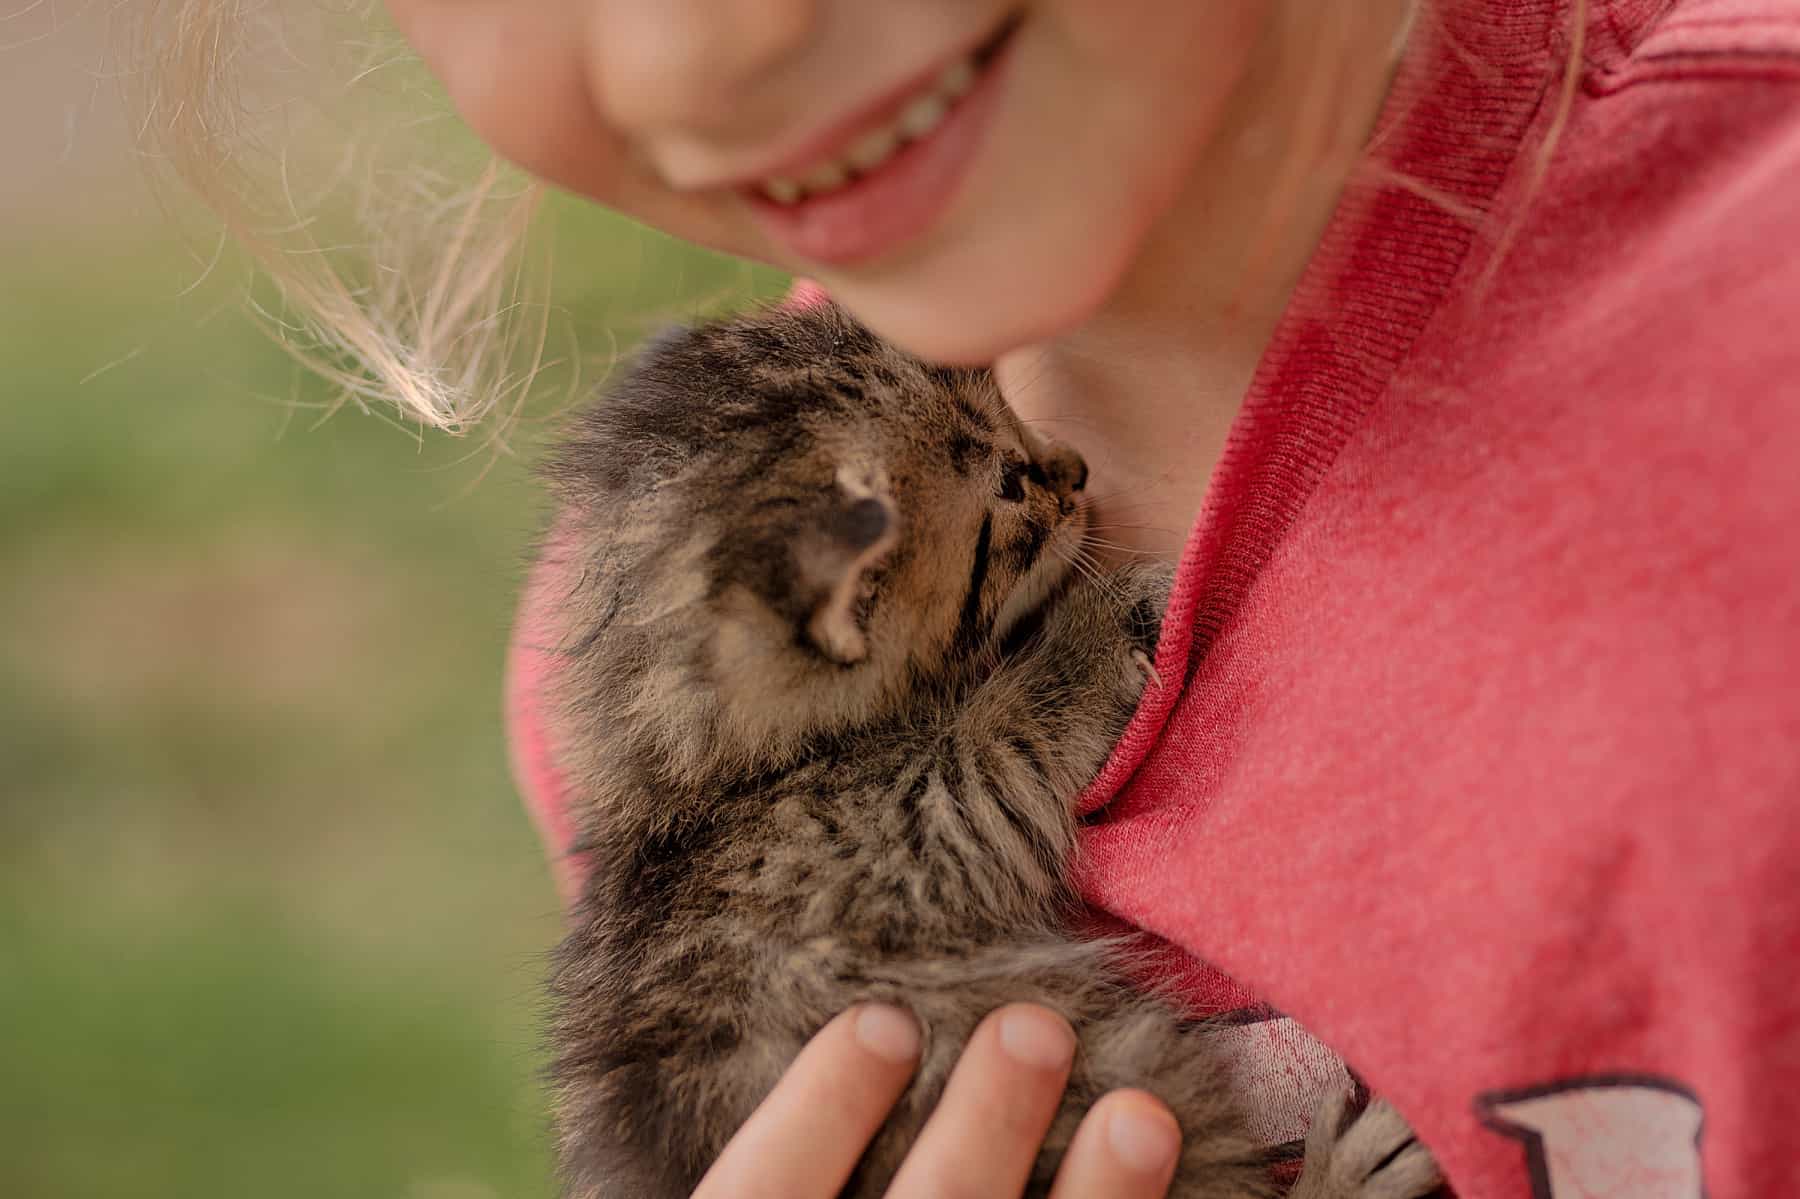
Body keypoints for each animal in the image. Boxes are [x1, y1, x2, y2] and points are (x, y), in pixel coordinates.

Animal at [529, 300, 1432, 1195]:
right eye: (1009, 485)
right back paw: (1350, 1171)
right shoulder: (905, 829)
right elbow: (993, 736)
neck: (708, 788)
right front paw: (1098, 628)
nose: (1076, 470)